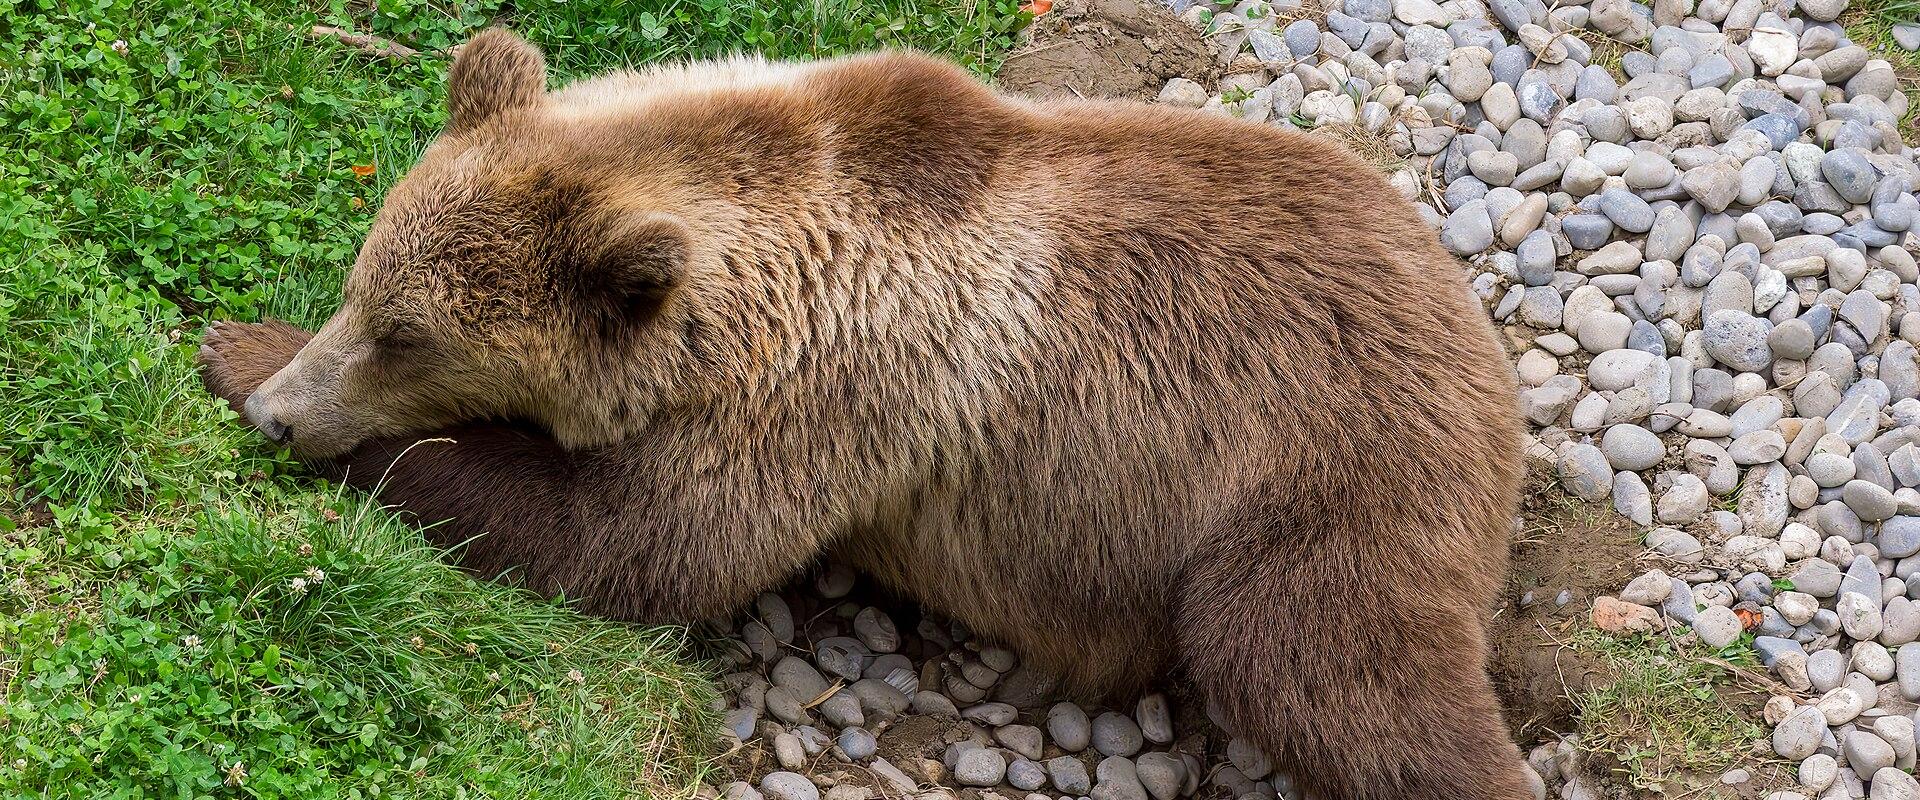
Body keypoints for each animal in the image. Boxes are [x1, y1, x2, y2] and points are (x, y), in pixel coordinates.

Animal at [199, 29, 1531, 799]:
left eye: (407, 336)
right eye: (365, 282)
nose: (277, 412)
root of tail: (1473, 335)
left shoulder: (830, 398)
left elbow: (638, 542)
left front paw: (241, 349)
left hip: (1316, 477)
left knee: (1335, 667)